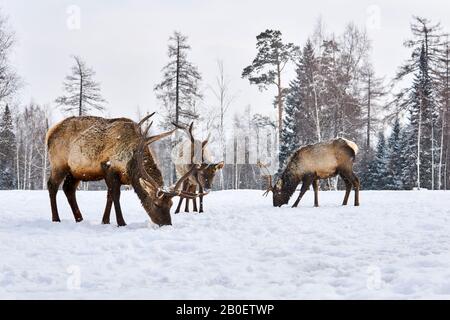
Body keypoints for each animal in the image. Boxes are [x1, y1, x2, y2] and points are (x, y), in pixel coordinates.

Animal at [46, 114, 200, 226]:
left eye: (171, 204)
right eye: (156, 203)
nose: (167, 224)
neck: (131, 165)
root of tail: (49, 134)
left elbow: (109, 196)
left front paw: (105, 221)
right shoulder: (109, 167)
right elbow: (115, 195)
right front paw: (121, 222)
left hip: (76, 171)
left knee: (68, 188)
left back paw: (79, 219)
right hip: (59, 164)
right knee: (52, 185)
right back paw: (56, 218)